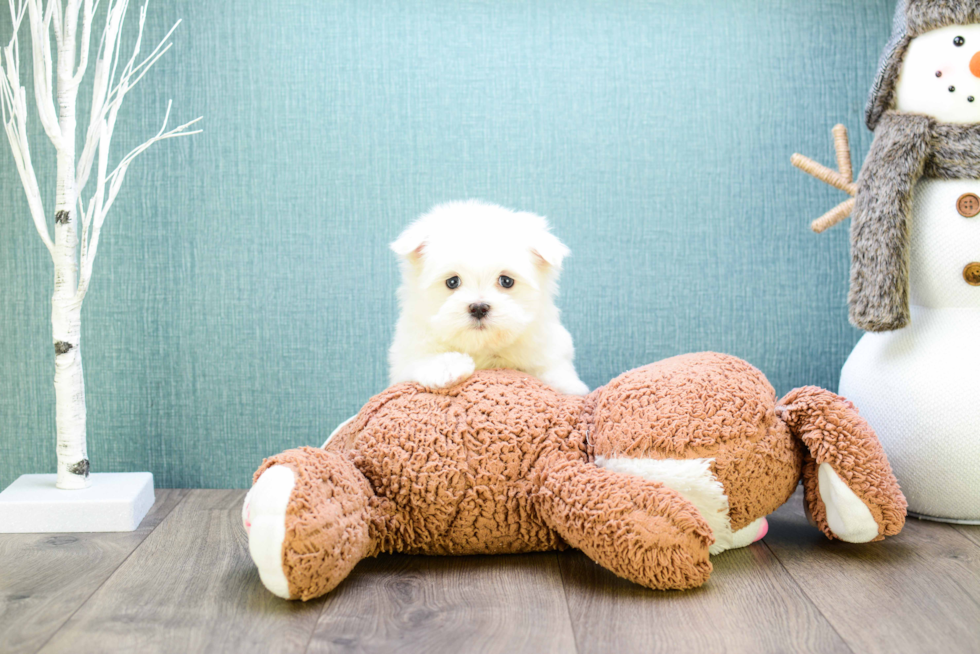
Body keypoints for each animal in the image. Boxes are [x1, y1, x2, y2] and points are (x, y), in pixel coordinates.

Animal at [388, 200, 588, 398]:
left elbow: (552, 368)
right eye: (452, 282)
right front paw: (448, 368)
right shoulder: (408, 350)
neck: (482, 347)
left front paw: (571, 386)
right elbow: (420, 358)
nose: (478, 308)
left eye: (506, 281)